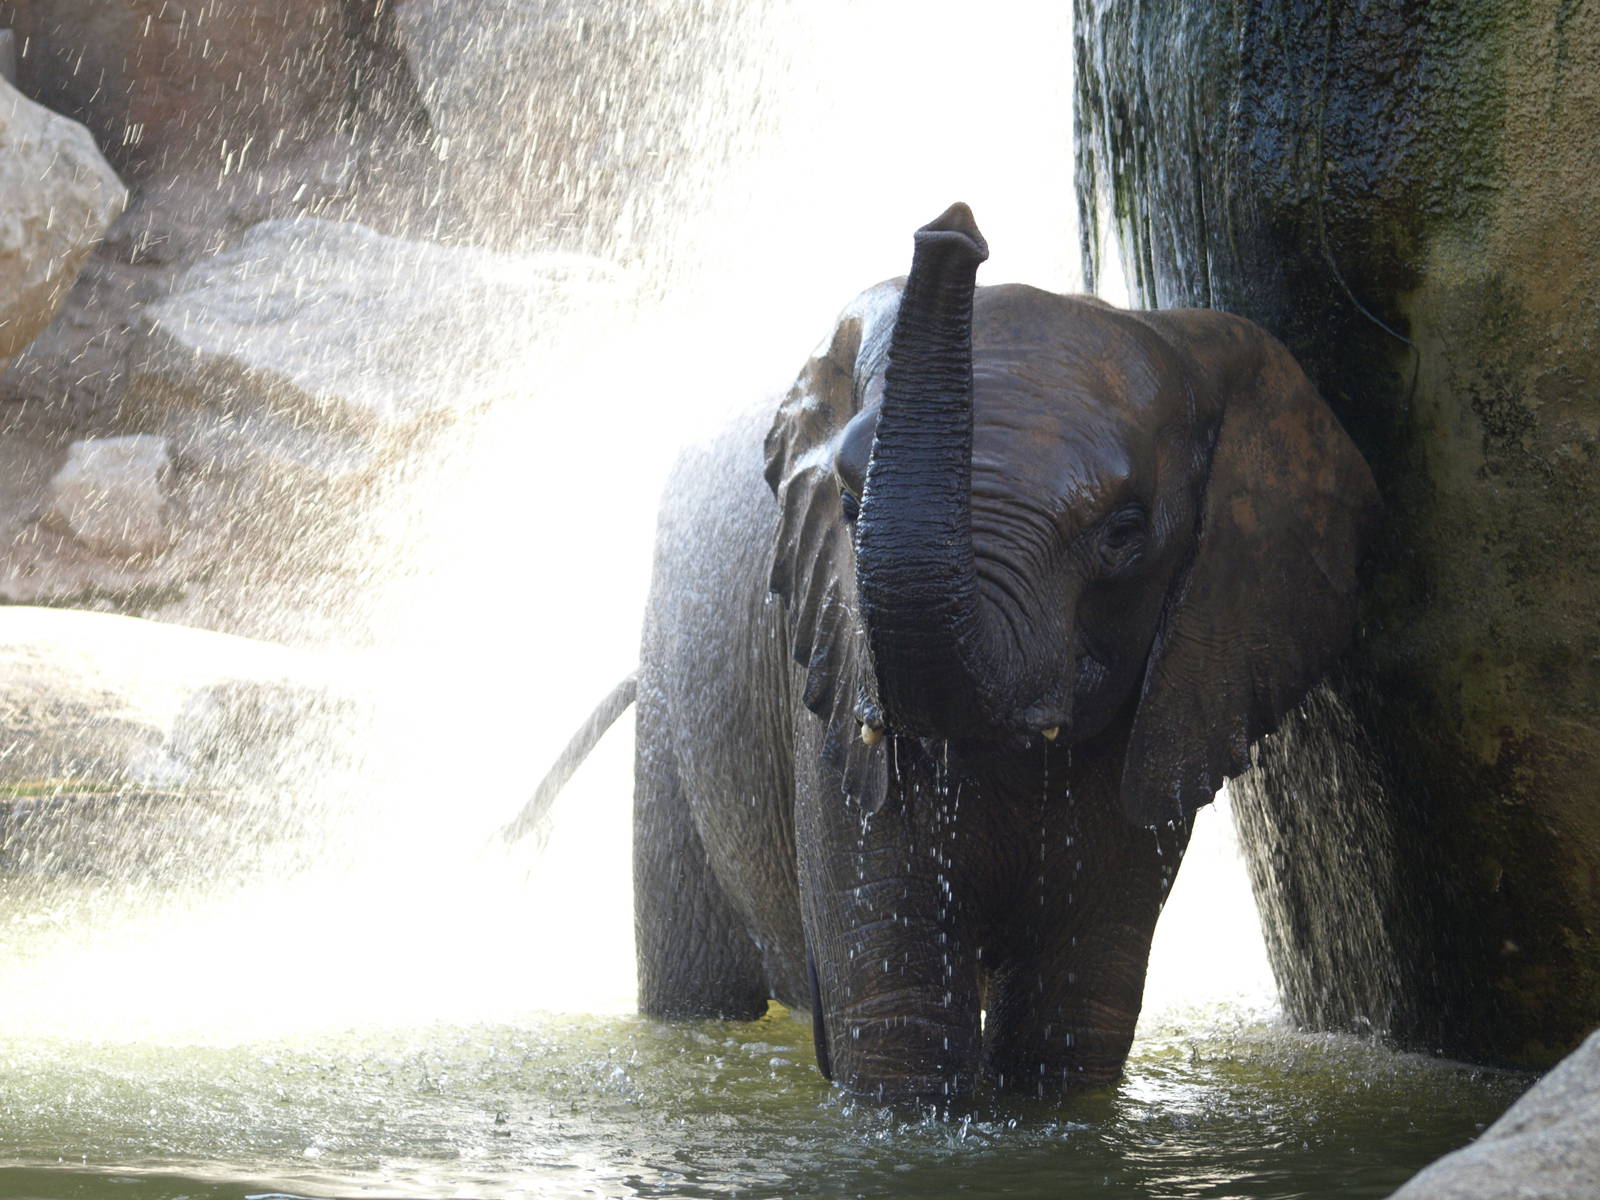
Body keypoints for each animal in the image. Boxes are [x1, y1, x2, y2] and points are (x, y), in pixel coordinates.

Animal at [522, 203, 1378, 1102]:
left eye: (1125, 531)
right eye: (849, 499)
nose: (953, 227)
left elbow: (1072, 1008)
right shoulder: (833, 681)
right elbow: (900, 1012)